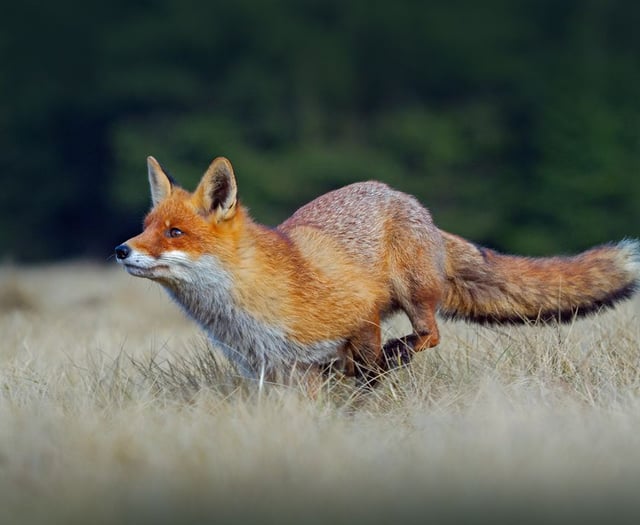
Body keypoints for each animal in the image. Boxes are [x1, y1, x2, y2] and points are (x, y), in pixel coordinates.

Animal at [115, 156, 640, 388]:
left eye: (175, 233)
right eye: (146, 227)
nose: (121, 250)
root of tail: (408, 200)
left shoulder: (360, 313)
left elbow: (366, 372)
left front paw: (373, 390)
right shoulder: (272, 373)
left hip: (412, 293)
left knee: (428, 335)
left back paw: (397, 354)